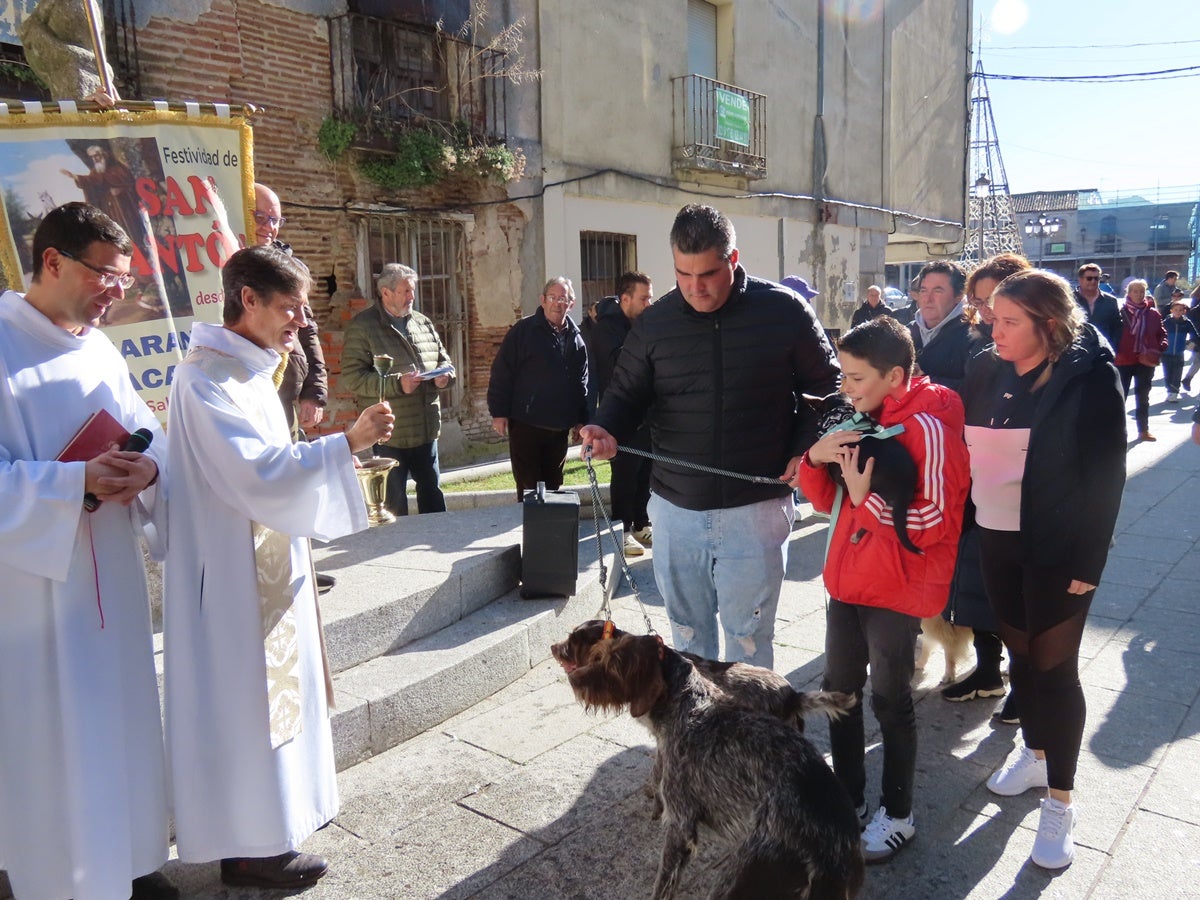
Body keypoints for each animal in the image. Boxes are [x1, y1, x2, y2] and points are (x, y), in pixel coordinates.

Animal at [559, 633, 864, 900]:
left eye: (615, 663)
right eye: (600, 653)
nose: (573, 679)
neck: (688, 700)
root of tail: (830, 861)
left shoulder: (680, 826)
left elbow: (663, 885)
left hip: (735, 883)